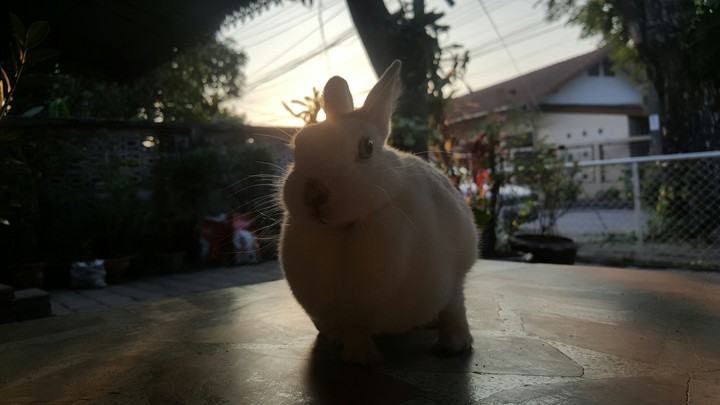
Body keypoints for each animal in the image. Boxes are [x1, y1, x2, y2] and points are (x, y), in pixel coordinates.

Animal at [278, 60, 478, 366]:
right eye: (298, 147)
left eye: (368, 147)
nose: (314, 196)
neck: (349, 227)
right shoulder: (349, 314)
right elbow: (356, 333)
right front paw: (362, 360)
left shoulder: (454, 277)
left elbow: (455, 308)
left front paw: (455, 346)